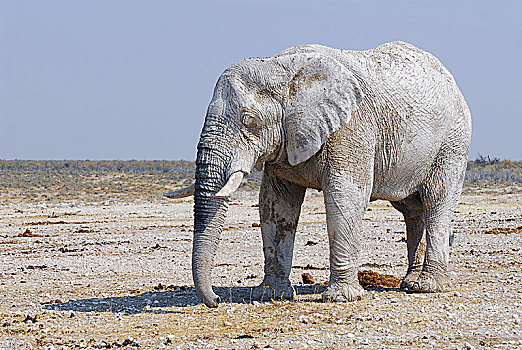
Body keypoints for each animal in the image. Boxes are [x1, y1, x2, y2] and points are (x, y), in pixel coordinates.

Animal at [166, 42, 472, 308]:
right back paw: (409, 283)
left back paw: (426, 287)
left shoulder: (352, 127)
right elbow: (275, 205)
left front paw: (341, 298)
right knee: (412, 210)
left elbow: (346, 197)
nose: (216, 300)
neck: (282, 67)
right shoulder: (286, 140)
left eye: (248, 120)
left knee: (436, 202)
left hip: (453, 143)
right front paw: (271, 295)